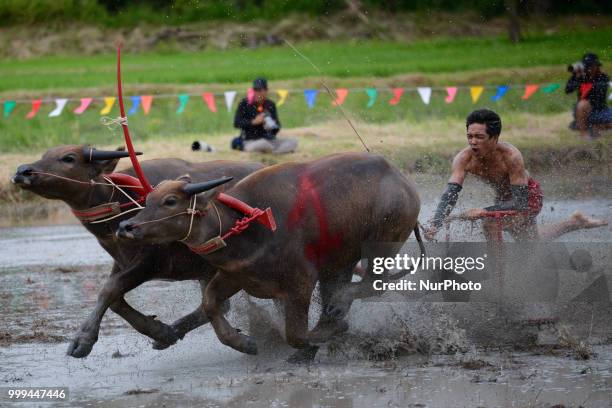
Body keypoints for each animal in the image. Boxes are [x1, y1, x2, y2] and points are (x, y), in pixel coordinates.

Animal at [10, 144, 262, 356]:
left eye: (68, 158)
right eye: (45, 154)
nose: (23, 171)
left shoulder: (150, 262)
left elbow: (109, 290)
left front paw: (82, 340)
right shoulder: (122, 261)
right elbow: (115, 299)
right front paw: (161, 332)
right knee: (217, 304)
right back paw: (174, 332)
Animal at [117, 152, 424, 360]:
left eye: (170, 201)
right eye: (147, 200)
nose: (126, 226)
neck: (244, 225)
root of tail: (404, 182)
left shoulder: (301, 282)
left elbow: (296, 334)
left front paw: (330, 333)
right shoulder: (235, 276)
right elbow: (211, 303)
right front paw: (244, 343)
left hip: (382, 244)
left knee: (373, 285)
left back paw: (336, 311)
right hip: (341, 261)